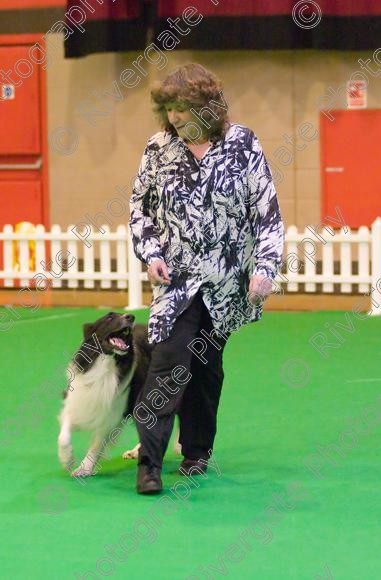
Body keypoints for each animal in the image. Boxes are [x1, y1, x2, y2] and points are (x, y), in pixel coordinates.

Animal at [56, 312, 154, 476]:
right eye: (109, 317)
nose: (130, 316)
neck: (106, 361)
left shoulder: (112, 415)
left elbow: (97, 444)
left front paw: (84, 468)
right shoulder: (77, 400)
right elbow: (63, 435)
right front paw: (67, 459)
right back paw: (135, 452)